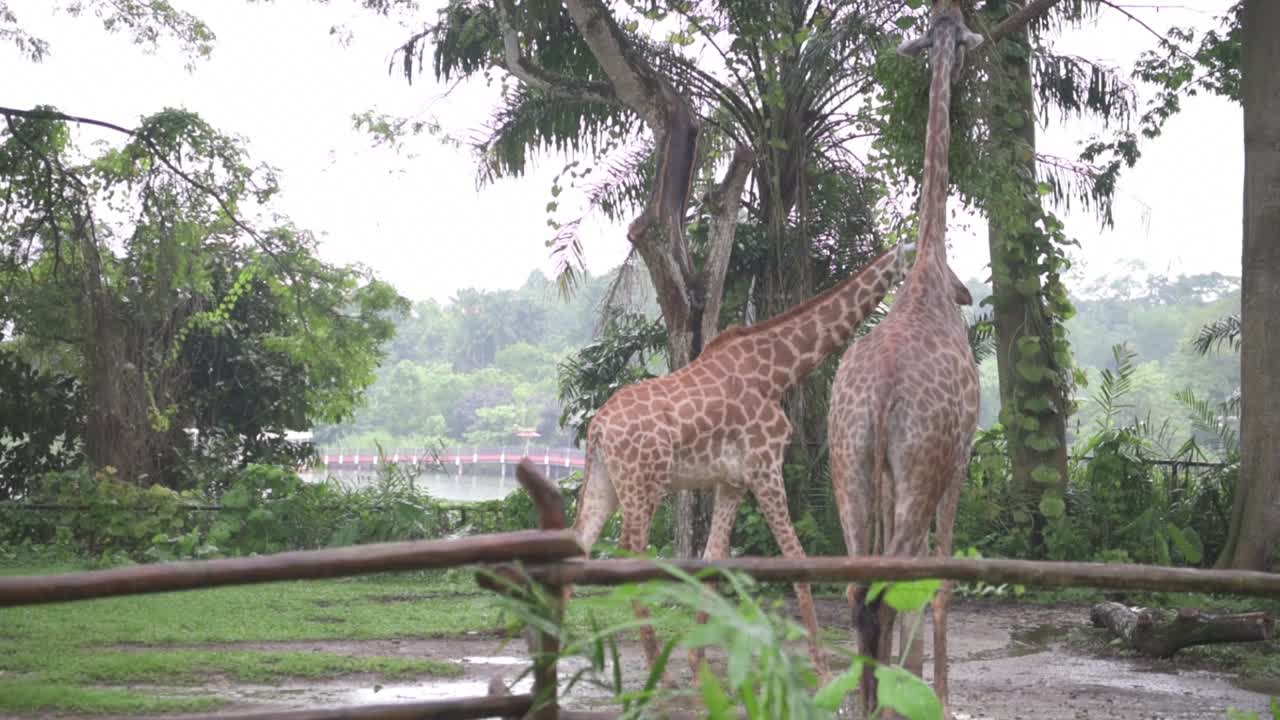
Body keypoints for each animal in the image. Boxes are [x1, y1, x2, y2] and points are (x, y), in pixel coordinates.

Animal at [569, 240, 972, 683]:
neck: (779, 370)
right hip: (644, 484)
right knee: (629, 557)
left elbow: (713, 562)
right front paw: (823, 675)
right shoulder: (765, 466)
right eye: (918, 265)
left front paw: (700, 669)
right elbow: (796, 560)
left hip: (606, 484)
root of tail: (598, 428)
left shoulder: (732, 482)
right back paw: (659, 680)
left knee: (578, 547)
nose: (964, 293)